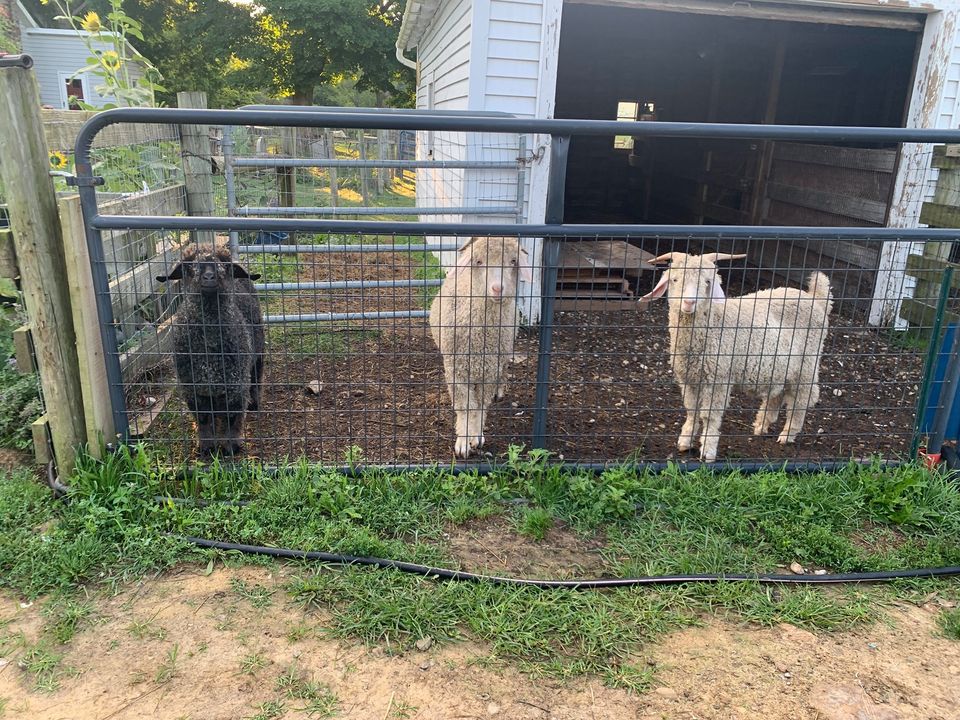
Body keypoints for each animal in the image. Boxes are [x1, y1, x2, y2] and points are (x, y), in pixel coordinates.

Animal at [640, 253, 836, 464]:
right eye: (675, 280)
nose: (689, 303)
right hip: (782, 365)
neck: (714, 321)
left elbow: (710, 416)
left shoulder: (718, 379)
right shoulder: (689, 379)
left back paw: (787, 434)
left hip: (807, 363)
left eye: (707, 282)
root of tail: (817, 299)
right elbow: (692, 410)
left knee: (802, 398)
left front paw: (708, 451)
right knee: (778, 393)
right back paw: (761, 425)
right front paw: (685, 441)